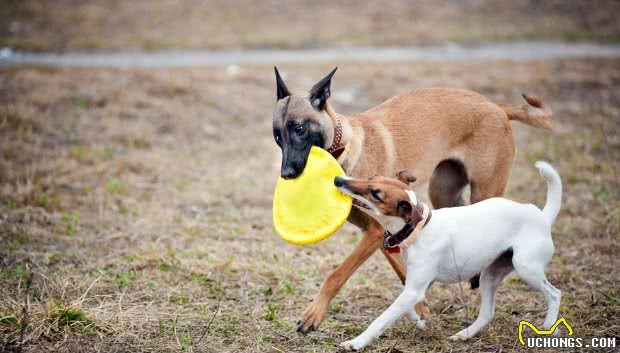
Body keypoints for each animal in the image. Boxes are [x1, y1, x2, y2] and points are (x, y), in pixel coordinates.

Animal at [272, 66, 552, 332]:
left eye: (299, 129)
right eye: (277, 136)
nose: (286, 174)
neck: (345, 149)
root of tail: (497, 107)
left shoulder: (374, 234)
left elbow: (337, 274)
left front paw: (313, 314)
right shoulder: (385, 235)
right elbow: (404, 274)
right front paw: (419, 309)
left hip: (484, 191)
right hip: (443, 192)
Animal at [334, 162, 560, 350]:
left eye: (376, 194)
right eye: (372, 177)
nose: (338, 180)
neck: (418, 229)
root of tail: (542, 217)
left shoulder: (414, 289)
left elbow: (383, 317)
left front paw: (357, 342)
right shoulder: (416, 286)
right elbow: (407, 308)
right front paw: (420, 322)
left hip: (526, 268)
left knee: (554, 294)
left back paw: (548, 326)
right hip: (490, 276)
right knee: (487, 313)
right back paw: (465, 334)